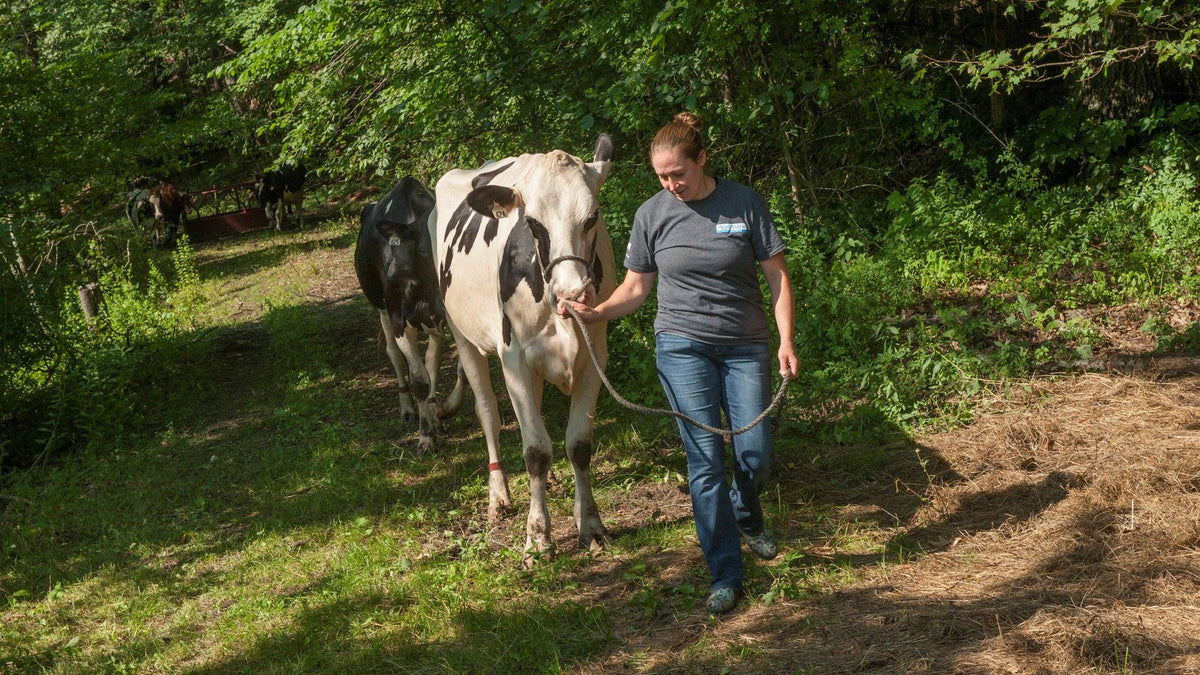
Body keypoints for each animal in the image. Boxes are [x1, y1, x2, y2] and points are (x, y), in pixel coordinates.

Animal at [352, 176, 465, 454]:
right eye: (425, 248)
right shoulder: (398, 319)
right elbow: (419, 380)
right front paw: (425, 437)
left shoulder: (447, 319)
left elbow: (451, 368)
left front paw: (444, 411)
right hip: (381, 307)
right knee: (394, 354)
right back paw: (407, 410)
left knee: (431, 362)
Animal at [432, 131, 619, 562]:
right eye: (532, 223)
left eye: (592, 217)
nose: (572, 293)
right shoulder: (514, 359)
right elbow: (535, 450)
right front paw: (538, 538)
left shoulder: (595, 357)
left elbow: (578, 444)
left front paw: (590, 524)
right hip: (461, 334)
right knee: (488, 412)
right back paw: (498, 497)